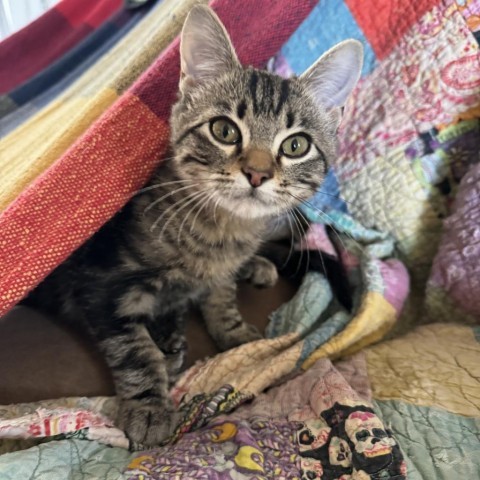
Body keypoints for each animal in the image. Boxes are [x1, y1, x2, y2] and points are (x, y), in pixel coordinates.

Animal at [25, 5, 360, 446]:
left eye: (295, 145)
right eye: (224, 130)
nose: (256, 174)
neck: (222, 232)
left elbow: (220, 296)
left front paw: (236, 336)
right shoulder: (97, 282)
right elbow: (134, 347)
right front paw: (150, 406)